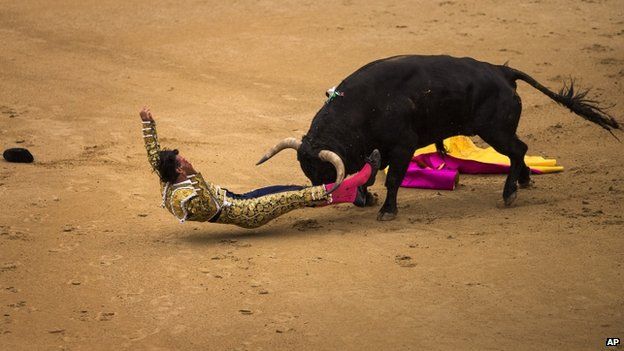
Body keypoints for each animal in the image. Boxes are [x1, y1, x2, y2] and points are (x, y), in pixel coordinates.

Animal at [258, 54, 620, 220]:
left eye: (324, 172)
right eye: (308, 172)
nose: (318, 198)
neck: (362, 108)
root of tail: (502, 71)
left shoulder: (402, 147)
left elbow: (391, 179)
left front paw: (386, 209)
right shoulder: (378, 149)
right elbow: (369, 173)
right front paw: (367, 197)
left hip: (495, 131)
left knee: (518, 149)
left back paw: (509, 193)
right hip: (498, 130)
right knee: (521, 150)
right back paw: (525, 182)